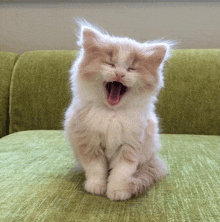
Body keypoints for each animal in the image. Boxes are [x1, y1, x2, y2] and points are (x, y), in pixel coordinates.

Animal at [64, 21, 174, 201]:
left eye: (131, 68)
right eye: (110, 63)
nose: (120, 74)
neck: (112, 114)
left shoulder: (130, 146)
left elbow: (121, 172)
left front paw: (118, 191)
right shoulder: (89, 142)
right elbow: (96, 168)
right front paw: (96, 186)